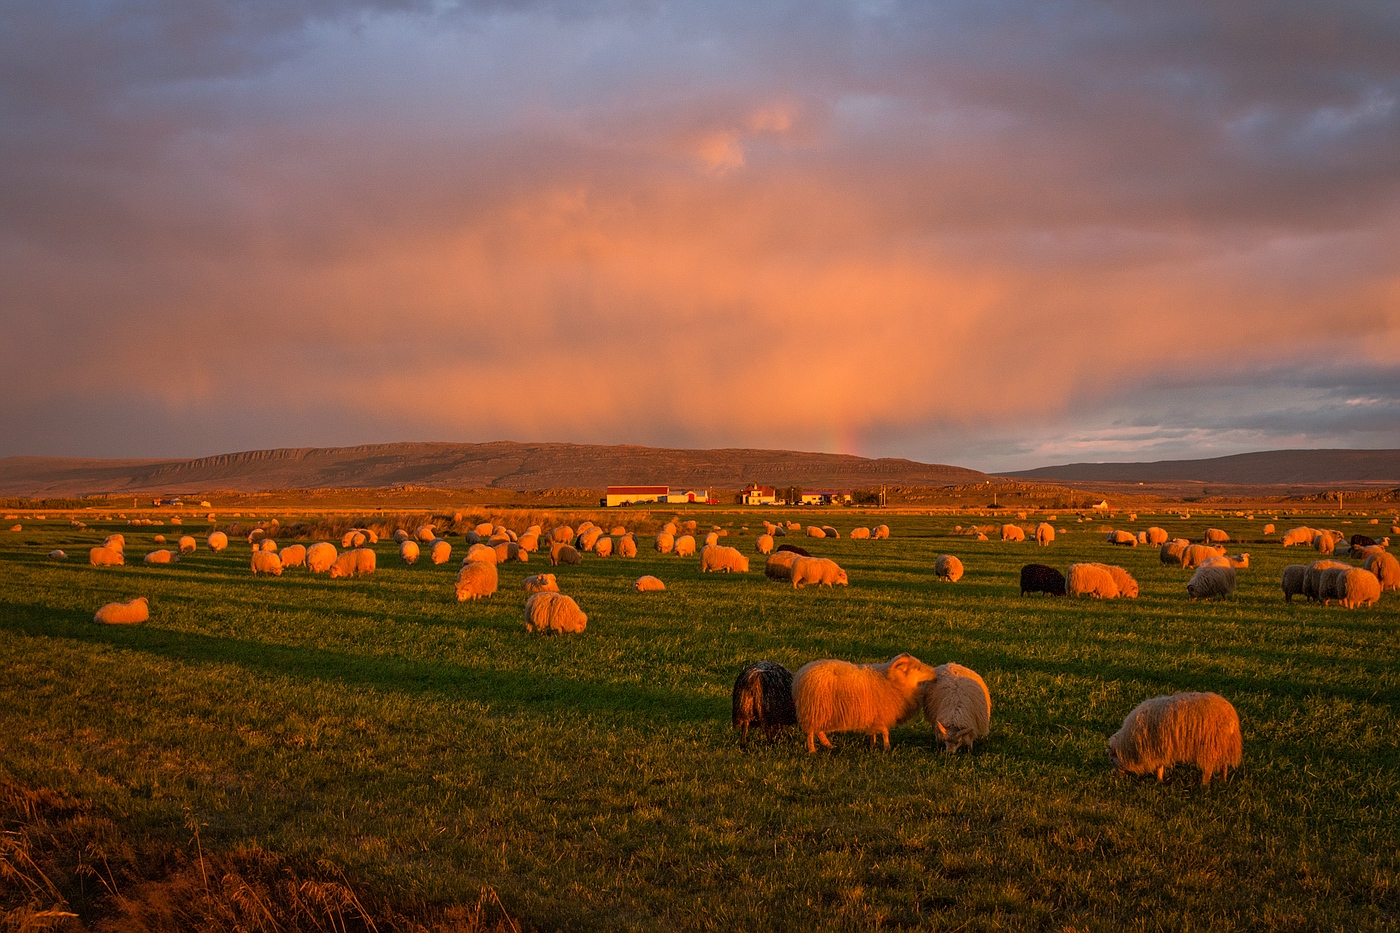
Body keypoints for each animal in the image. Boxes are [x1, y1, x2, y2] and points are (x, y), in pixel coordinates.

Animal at [795, 650, 935, 750]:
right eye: (917, 668)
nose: (934, 672)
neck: (893, 681)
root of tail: (800, 676)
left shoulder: (874, 715)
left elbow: (874, 732)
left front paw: (872, 746)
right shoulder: (881, 714)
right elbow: (885, 732)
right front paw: (887, 748)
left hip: (821, 712)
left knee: (818, 731)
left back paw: (828, 745)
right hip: (814, 710)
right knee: (811, 732)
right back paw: (812, 750)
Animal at [1108, 689, 1243, 784]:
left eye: (1111, 760)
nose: (1116, 777)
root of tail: (1230, 715)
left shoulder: (1157, 747)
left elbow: (1159, 765)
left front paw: (1159, 779)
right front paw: (1160, 780)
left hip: (1210, 745)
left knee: (1208, 769)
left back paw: (1204, 785)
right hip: (1225, 745)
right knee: (1224, 765)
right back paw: (1223, 781)